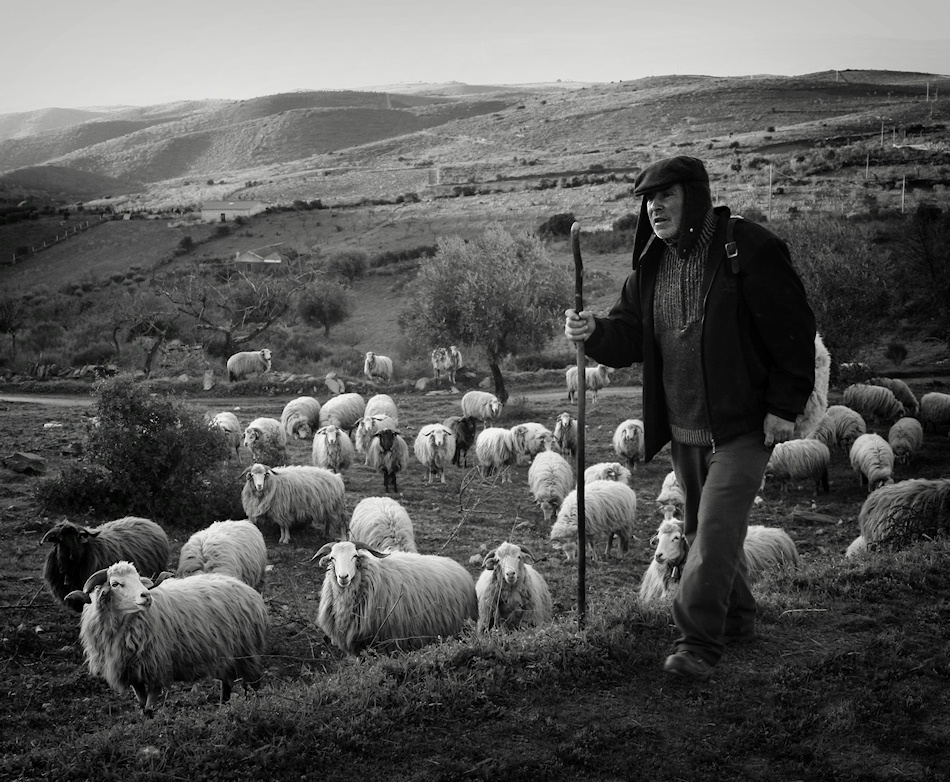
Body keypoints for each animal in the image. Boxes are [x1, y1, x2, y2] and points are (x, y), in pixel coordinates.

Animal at [65, 561, 268, 717]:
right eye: (115, 584)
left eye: (138, 579)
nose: (146, 596)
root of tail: (247, 589)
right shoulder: (132, 671)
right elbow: (142, 704)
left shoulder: (156, 666)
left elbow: (149, 707)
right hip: (226, 654)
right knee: (227, 683)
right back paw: (223, 707)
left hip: (246, 652)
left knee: (253, 685)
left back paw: (253, 707)